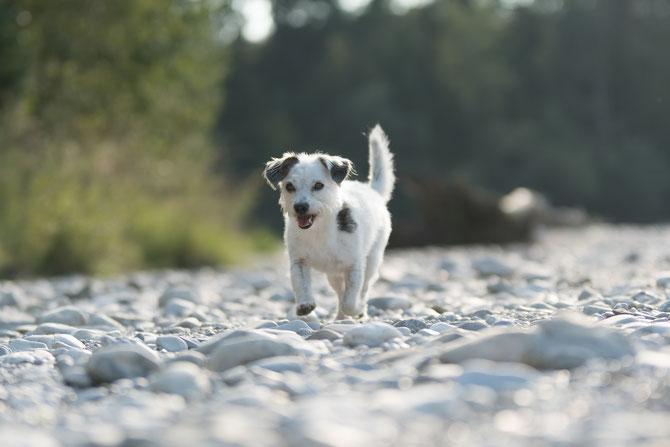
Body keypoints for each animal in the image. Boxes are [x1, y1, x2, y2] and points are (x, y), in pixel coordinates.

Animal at [262, 126, 396, 320]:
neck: (319, 229)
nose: (300, 207)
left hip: (372, 260)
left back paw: (359, 310)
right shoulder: (298, 262)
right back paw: (340, 317)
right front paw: (305, 304)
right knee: (339, 292)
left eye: (318, 185)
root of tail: (373, 191)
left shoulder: (354, 267)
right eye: (289, 186)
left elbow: (350, 300)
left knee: (363, 288)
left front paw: (356, 309)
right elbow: (301, 284)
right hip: (333, 275)